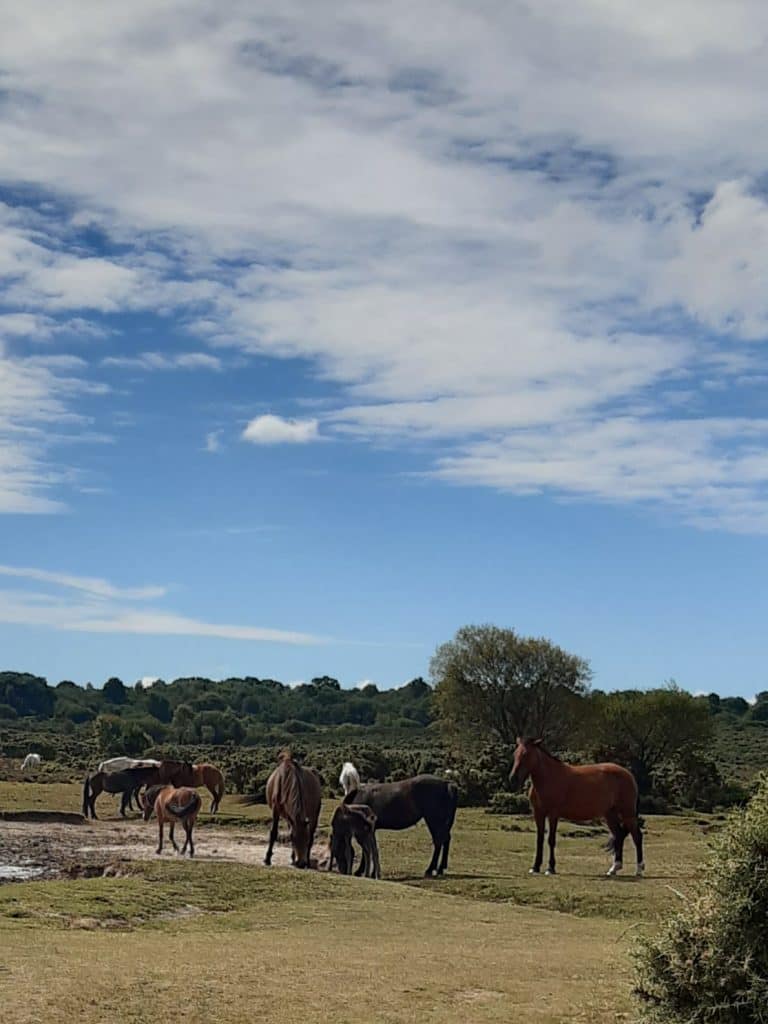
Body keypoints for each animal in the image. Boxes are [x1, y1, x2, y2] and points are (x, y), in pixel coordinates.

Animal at [509, 737, 645, 877]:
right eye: (515, 754)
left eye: (526, 754)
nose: (513, 779)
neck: (549, 777)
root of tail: (628, 774)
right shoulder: (538, 813)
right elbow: (539, 840)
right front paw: (535, 867)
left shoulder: (553, 814)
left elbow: (551, 840)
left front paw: (550, 868)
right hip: (610, 815)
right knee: (618, 836)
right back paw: (614, 868)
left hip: (627, 813)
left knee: (637, 837)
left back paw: (639, 870)